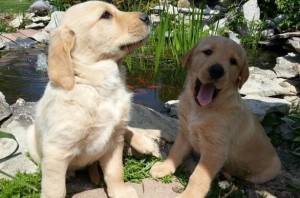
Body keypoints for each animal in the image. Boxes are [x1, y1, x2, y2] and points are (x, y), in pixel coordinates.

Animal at [26, 0, 150, 197]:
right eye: (105, 15)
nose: (147, 17)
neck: (98, 86)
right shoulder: (56, 150)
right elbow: (55, 188)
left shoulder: (114, 140)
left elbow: (115, 171)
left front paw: (120, 191)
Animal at [150, 36, 282, 197]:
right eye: (208, 52)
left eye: (233, 61)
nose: (217, 71)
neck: (200, 109)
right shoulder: (185, 133)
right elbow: (175, 152)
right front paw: (164, 167)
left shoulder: (215, 150)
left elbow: (199, 176)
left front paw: (190, 194)